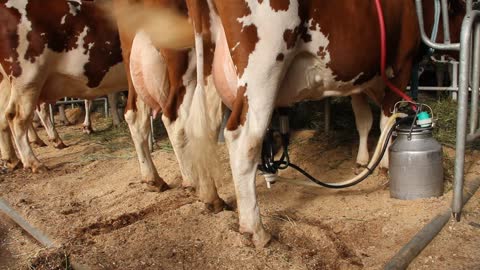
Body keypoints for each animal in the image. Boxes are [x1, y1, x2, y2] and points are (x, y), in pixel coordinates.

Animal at [0, 0, 168, 190]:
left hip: (9, 83)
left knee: (3, 117)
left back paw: (12, 158)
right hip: (29, 80)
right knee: (18, 117)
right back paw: (34, 161)